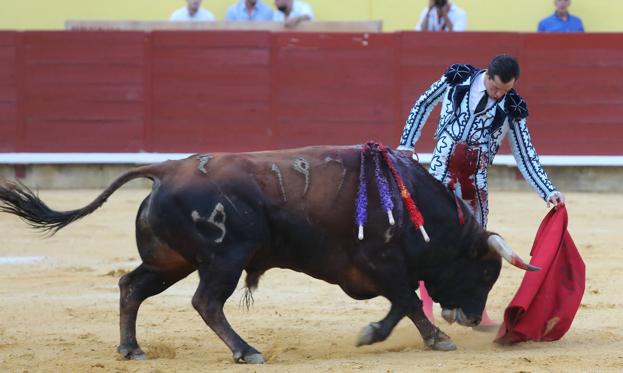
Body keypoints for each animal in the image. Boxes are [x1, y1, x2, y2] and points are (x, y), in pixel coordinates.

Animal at [0, 145, 536, 364]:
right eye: (485, 272)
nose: (472, 317)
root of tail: (165, 169)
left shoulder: (376, 270)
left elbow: (401, 303)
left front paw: (405, 336)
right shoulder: (382, 262)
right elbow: (404, 299)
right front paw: (420, 338)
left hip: (171, 261)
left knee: (131, 286)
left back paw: (131, 349)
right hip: (223, 259)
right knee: (206, 302)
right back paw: (246, 350)